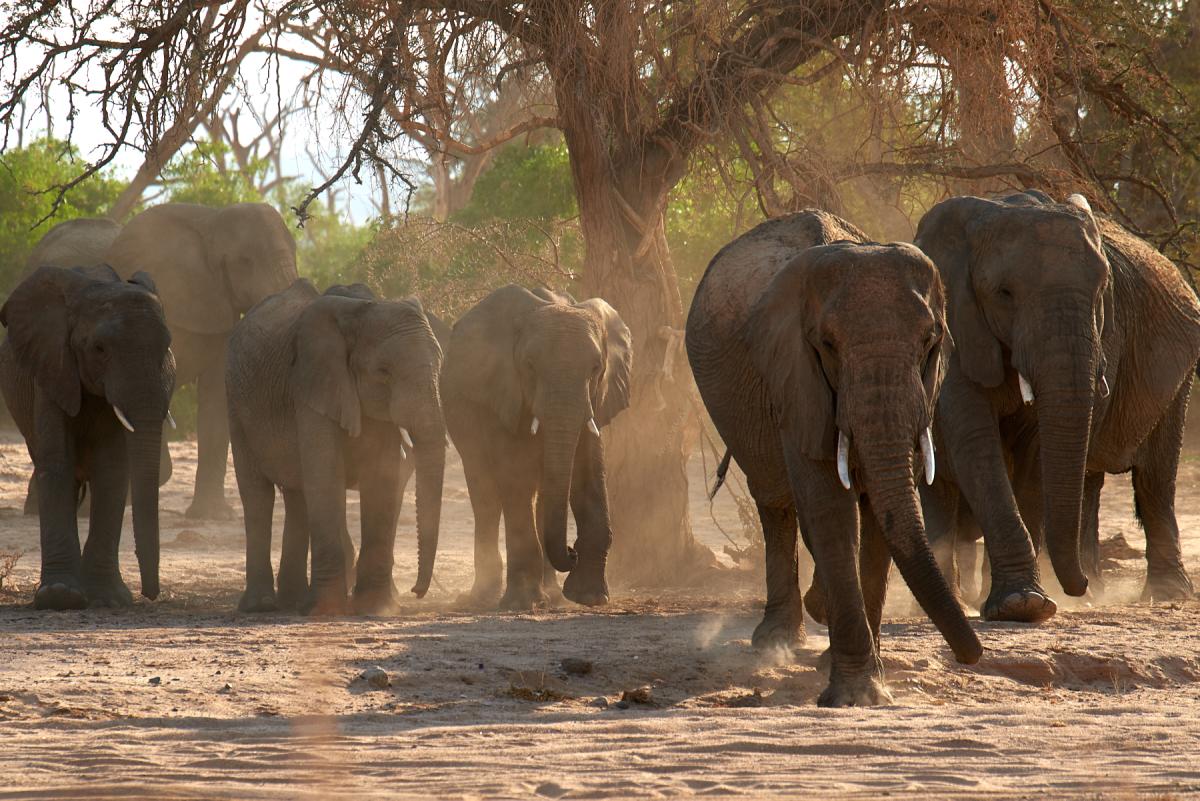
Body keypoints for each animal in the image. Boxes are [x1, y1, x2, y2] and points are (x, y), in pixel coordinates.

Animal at [0, 265, 175, 610]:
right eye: (99, 349)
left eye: (166, 348)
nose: (150, 595)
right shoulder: (52, 368)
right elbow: (57, 464)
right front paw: (59, 597)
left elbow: (112, 470)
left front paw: (108, 598)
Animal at [227, 279, 446, 616]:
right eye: (383, 372)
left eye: (440, 366)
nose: (417, 591)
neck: (361, 311)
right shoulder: (313, 384)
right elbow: (326, 474)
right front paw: (326, 610)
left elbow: (381, 475)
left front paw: (375, 608)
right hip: (236, 405)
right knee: (258, 495)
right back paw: (261, 606)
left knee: (297, 497)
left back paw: (293, 601)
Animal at [441, 285, 632, 611]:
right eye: (530, 367)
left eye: (596, 368)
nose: (571, 551)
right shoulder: (503, 393)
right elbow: (514, 474)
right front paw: (522, 603)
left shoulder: (594, 400)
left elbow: (588, 470)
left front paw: (590, 597)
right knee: (485, 492)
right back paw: (484, 597)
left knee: (541, 494)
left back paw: (552, 596)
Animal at [686, 210, 982, 707]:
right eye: (827, 344)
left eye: (929, 341)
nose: (972, 655)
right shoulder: (795, 378)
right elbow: (829, 507)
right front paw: (856, 694)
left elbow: (879, 515)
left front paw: (864, 680)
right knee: (776, 501)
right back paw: (778, 641)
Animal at [916, 190, 1200, 622]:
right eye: (1004, 294)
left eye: (1102, 290)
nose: (1076, 587)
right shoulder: (956, 321)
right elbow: (975, 440)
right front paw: (1021, 604)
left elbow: (1036, 456)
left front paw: (1026, 603)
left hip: (1181, 377)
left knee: (1154, 478)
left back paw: (1159, 593)